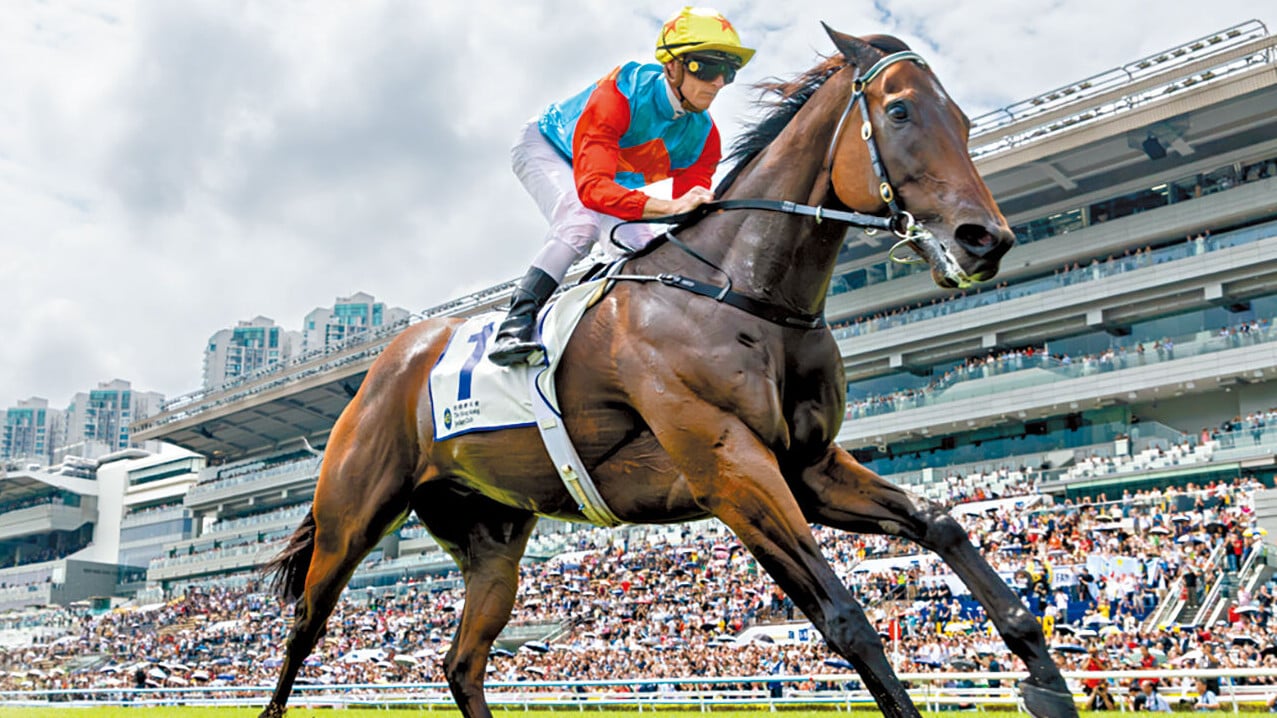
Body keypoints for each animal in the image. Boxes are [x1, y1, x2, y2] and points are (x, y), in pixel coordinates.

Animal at [259, 26, 1078, 718]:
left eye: (964, 121)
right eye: (901, 111)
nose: (985, 240)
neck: (742, 289)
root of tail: (385, 365)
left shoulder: (808, 466)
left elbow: (941, 522)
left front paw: (1045, 680)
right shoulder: (732, 470)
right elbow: (845, 619)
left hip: (492, 539)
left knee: (461, 663)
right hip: (352, 518)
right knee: (303, 628)